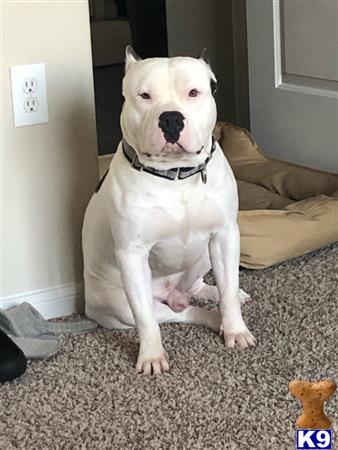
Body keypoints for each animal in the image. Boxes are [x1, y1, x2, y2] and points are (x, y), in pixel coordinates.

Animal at [82, 46, 256, 376]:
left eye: (194, 92)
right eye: (144, 96)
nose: (172, 119)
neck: (176, 176)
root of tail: (170, 293)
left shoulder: (225, 235)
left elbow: (228, 289)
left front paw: (236, 329)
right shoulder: (132, 255)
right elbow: (146, 320)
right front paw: (151, 356)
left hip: (205, 256)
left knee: (202, 288)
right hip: (119, 303)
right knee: (178, 313)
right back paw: (211, 319)